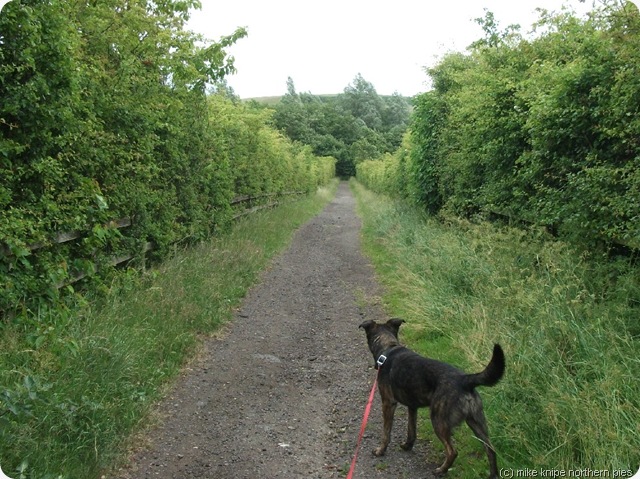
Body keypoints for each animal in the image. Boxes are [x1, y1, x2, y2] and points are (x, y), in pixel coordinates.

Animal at [360, 318, 504, 479]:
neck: (388, 349)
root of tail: (465, 380)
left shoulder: (388, 403)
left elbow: (386, 432)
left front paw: (380, 450)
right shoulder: (412, 407)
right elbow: (411, 430)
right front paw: (407, 446)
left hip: (439, 420)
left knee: (452, 451)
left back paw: (441, 470)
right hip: (477, 422)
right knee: (491, 449)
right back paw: (492, 475)